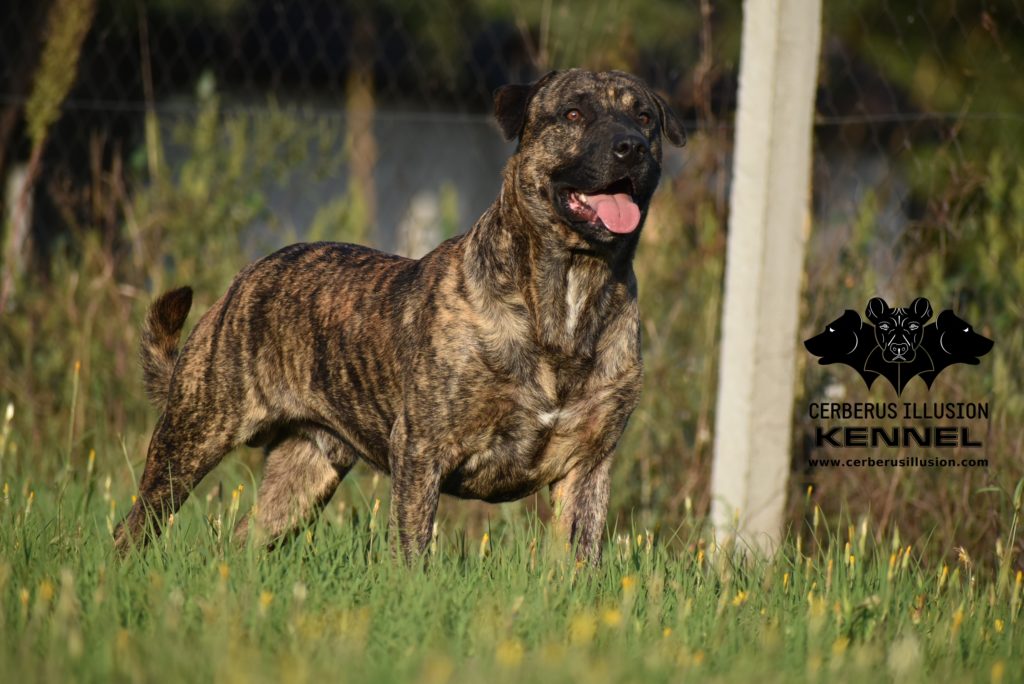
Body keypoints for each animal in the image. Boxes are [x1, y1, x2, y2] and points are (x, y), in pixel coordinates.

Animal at [116, 68, 684, 561]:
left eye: (645, 118)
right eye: (572, 113)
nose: (631, 146)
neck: (569, 292)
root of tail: (246, 276)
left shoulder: (589, 467)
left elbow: (577, 559)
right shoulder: (421, 449)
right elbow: (412, 549)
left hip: (305, 470)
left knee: (243, 540)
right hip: (193, 435)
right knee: (136, 524)